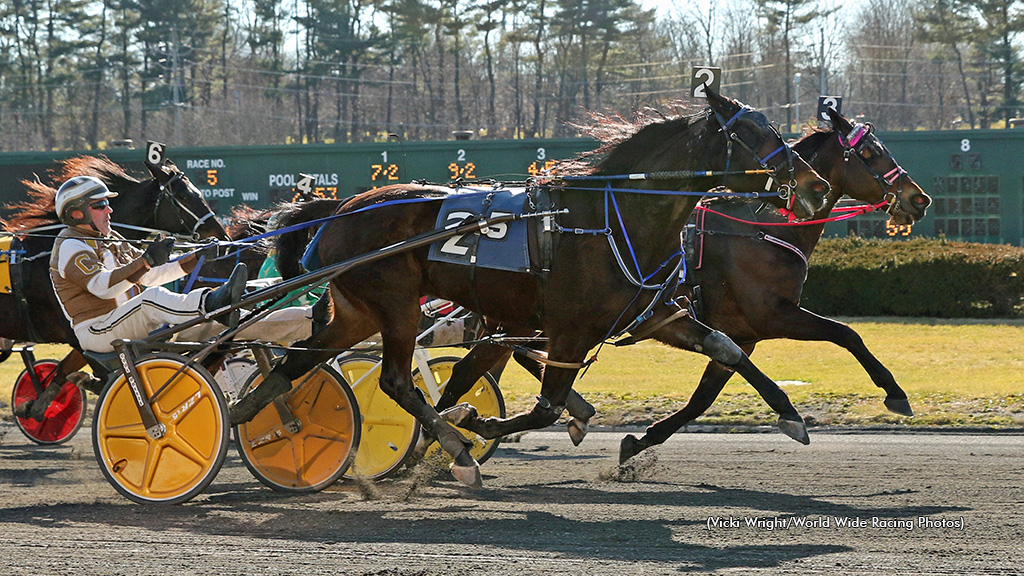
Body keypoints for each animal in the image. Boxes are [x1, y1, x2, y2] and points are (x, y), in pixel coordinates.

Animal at [0, 154, 228, 416]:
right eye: (184, 196)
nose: (223, 236)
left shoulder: (81, 344)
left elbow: (65, 371)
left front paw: (37, 404)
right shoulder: (77, 334)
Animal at [232, 91, 831, 485]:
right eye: (751, 135)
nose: (814, 185)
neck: (611, 217)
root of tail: (340, 208)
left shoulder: (651, 315)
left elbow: (727, 349)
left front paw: (791, 416)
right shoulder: (569, 330)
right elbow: (545, 407)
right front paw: (476, 422)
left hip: (357, 309)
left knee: (304, 358)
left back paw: (252, 408)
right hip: (396, 304)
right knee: (397, 380)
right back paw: (458, 451)